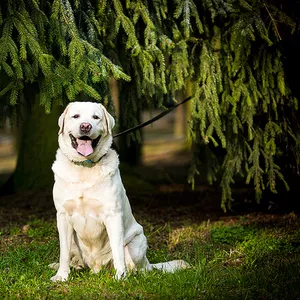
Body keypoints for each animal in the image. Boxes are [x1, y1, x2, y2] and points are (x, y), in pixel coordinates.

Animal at [51, 101, 188, 282]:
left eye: (96, 117)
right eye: (76, 116)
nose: (86, 126)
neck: (85, 168)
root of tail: (96, 268)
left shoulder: (113, 215)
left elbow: (118, 252)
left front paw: (120, 277)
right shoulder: (63, 216)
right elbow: (64, 252)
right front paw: (61, 276)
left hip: (137, 242)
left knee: (139, 267)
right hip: (75, 243)